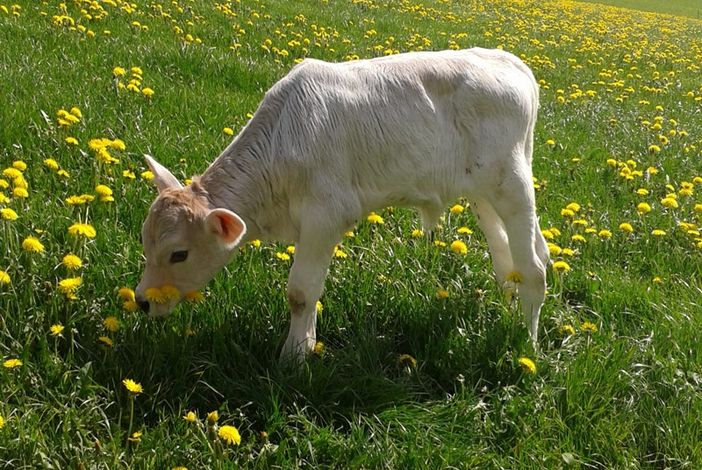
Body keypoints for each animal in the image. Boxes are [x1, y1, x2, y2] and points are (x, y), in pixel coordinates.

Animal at [136, 47, 552, 358]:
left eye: (178, 254)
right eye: (145, 242)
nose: (141, 301)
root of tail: (510, 61)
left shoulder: (325, 216)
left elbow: (300, 293)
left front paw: (293, 357)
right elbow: (309, 294)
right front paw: (306, 343)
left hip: (513, 185)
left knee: (534, 268)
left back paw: (526, 344)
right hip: (484, 193)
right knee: (512, 259)